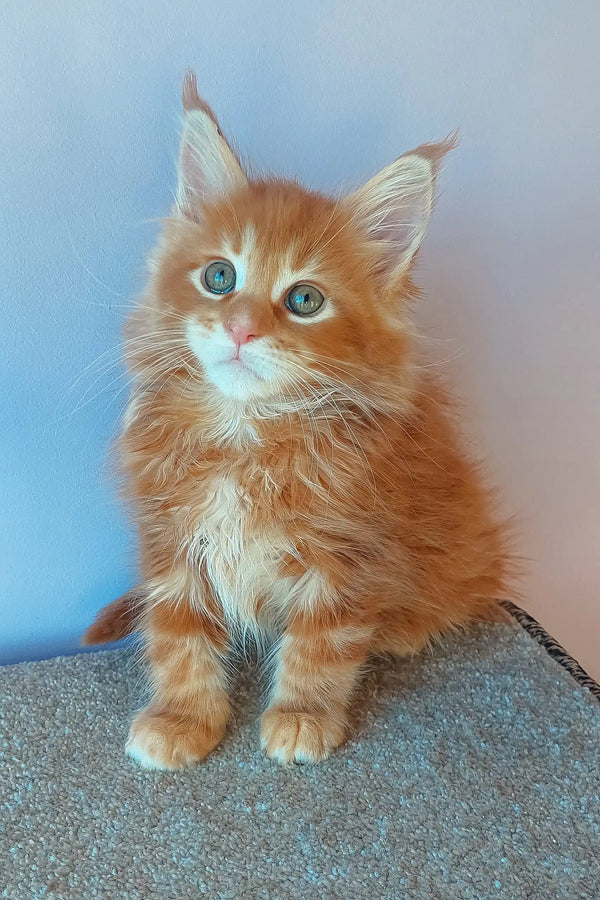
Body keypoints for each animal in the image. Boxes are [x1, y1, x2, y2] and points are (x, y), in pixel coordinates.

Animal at [83, 74, 510, 768]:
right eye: (220, 276)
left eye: (305, 300)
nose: (241, 328)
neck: (246, 435)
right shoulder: (172, 536)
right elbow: (177, 635)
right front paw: (182, 717)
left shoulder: (352, 554)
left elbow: (321, 644)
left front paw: (302, 716)